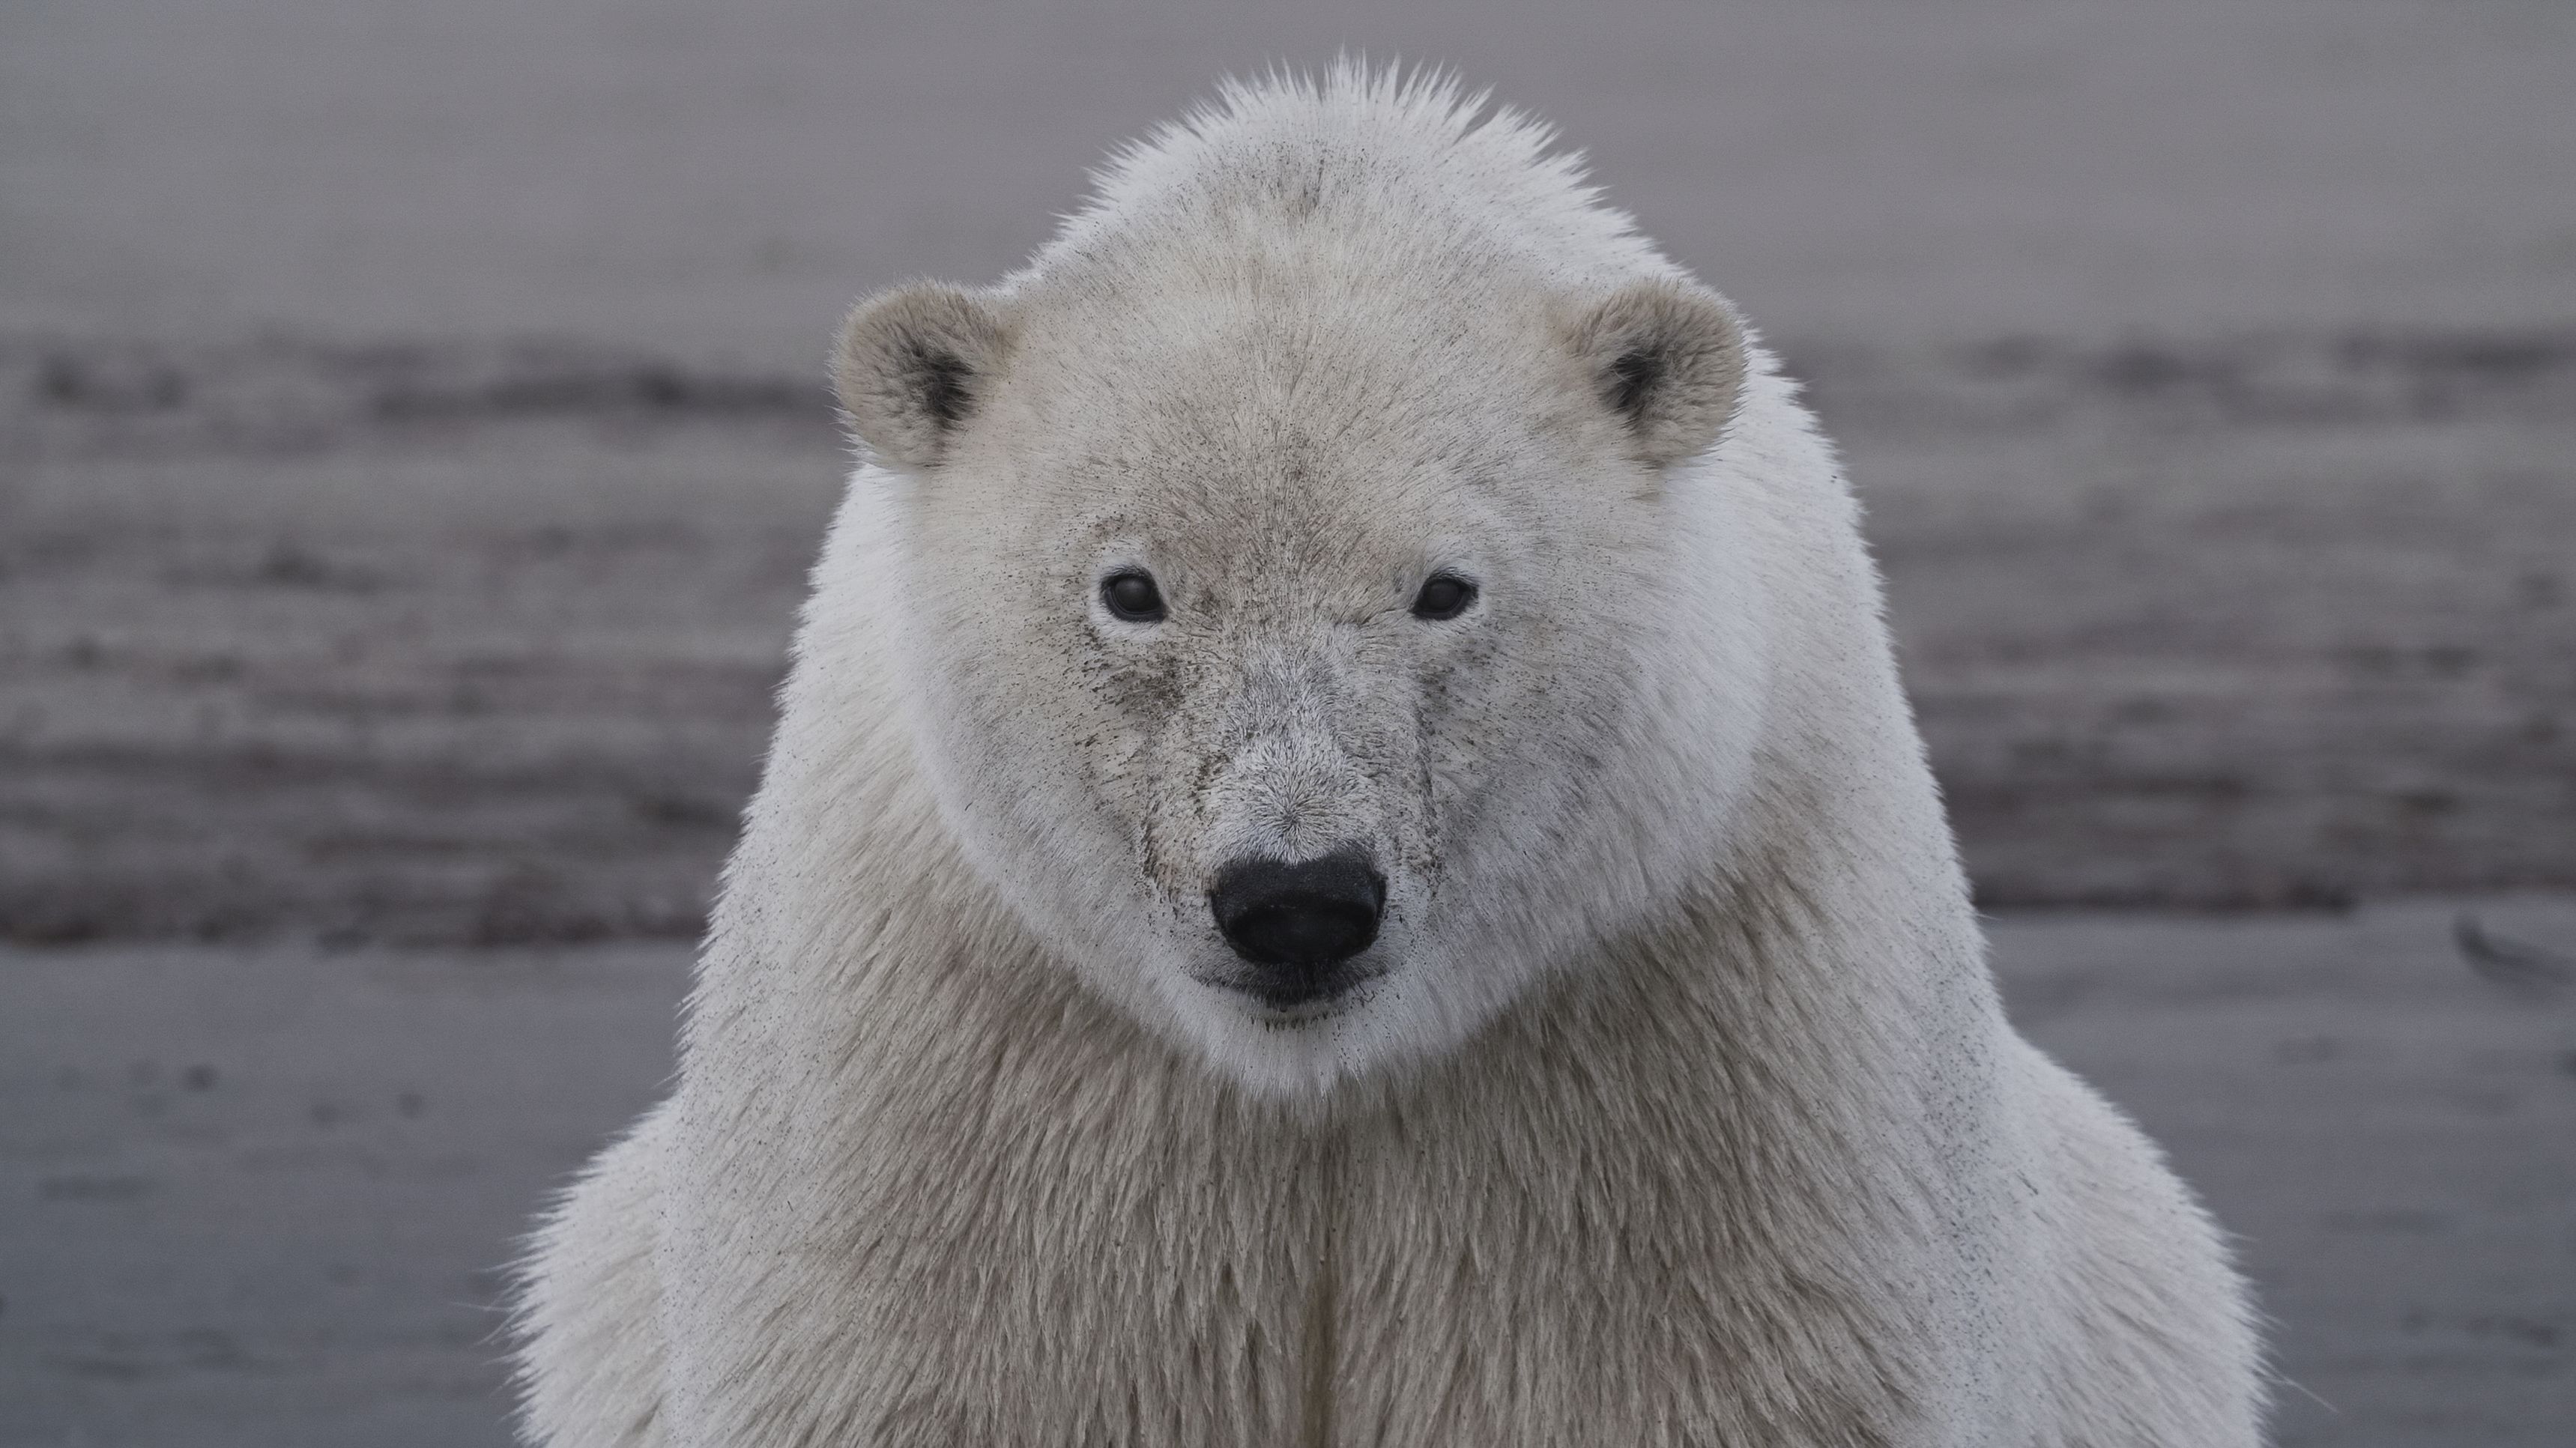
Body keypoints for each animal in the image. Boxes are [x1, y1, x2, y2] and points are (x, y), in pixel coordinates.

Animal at [512, 66, 2265, 1447]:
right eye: (1133, 587)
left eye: (1442, 588)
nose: (1295, 896)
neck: (1314, 1085)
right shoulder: (966, 1068)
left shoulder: (1698, 1047)